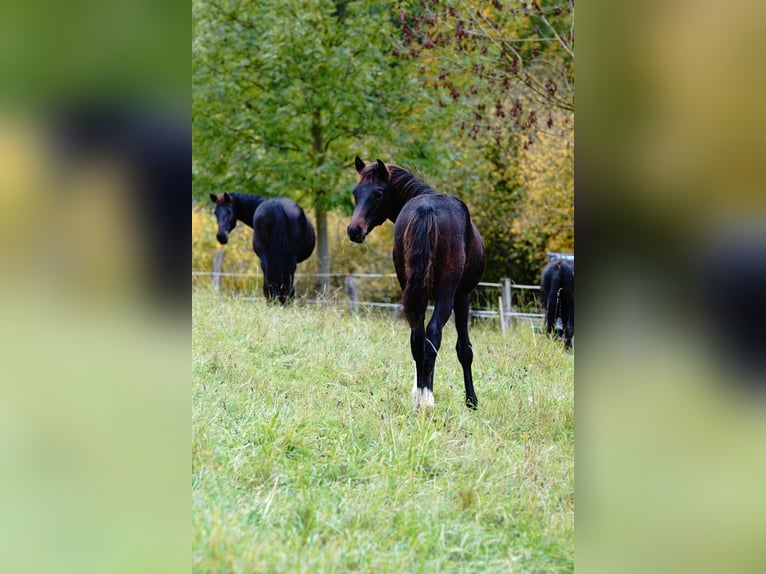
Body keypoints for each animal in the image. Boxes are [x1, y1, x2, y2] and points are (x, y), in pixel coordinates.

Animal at [347, 157, 485, 409]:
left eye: (378, 193)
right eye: (356, 193)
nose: (354, 230)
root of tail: (426, 209)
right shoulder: (463, 295)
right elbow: (464, 349)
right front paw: (471, 401)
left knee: (417, 337)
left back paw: (420, 396)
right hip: (447, 294)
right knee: (432, 334)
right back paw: (426, 399)